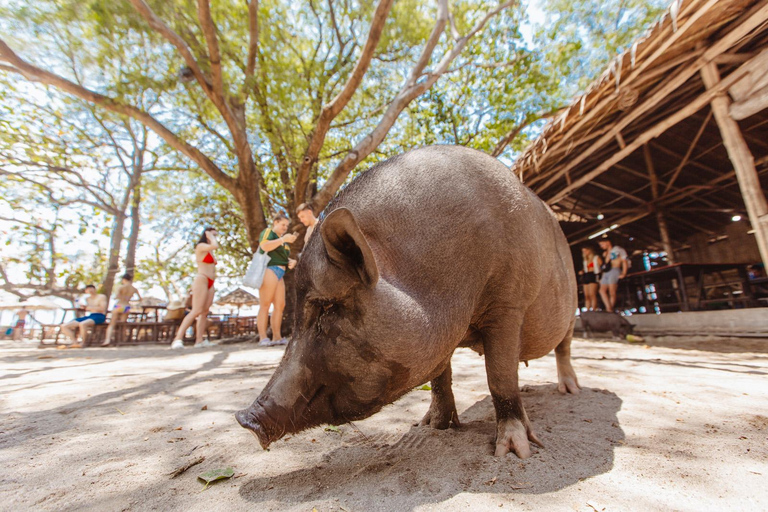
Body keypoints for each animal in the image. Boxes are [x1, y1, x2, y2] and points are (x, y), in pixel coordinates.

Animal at [237, 145, 580, 460]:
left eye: (326, 306)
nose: (245, 419)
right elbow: (440, 378)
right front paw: (432, 426)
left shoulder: (508, 303)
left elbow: (500, 375)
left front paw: (513, 452)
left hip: (572, 307)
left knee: (564, 348)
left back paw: (570, 391)